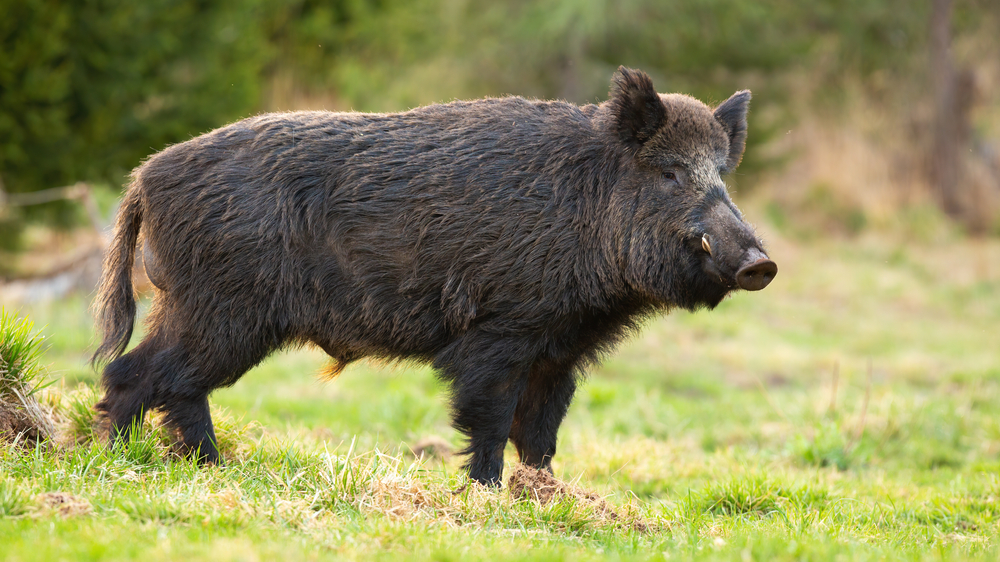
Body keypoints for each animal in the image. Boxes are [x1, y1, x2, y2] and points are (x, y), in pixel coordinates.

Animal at [92, 67, 776, 485]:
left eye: (722, 174)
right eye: (668, 172)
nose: (761, 263)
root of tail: (144, 177)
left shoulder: (560, 350)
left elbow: (543, 432)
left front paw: (544, 496)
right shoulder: (500, 331)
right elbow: (490, 420)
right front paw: (487, 495)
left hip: (200, 309)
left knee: (169, 383)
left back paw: (202, 469)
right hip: (222, 309)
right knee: (138, 374)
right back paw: (127, 462)